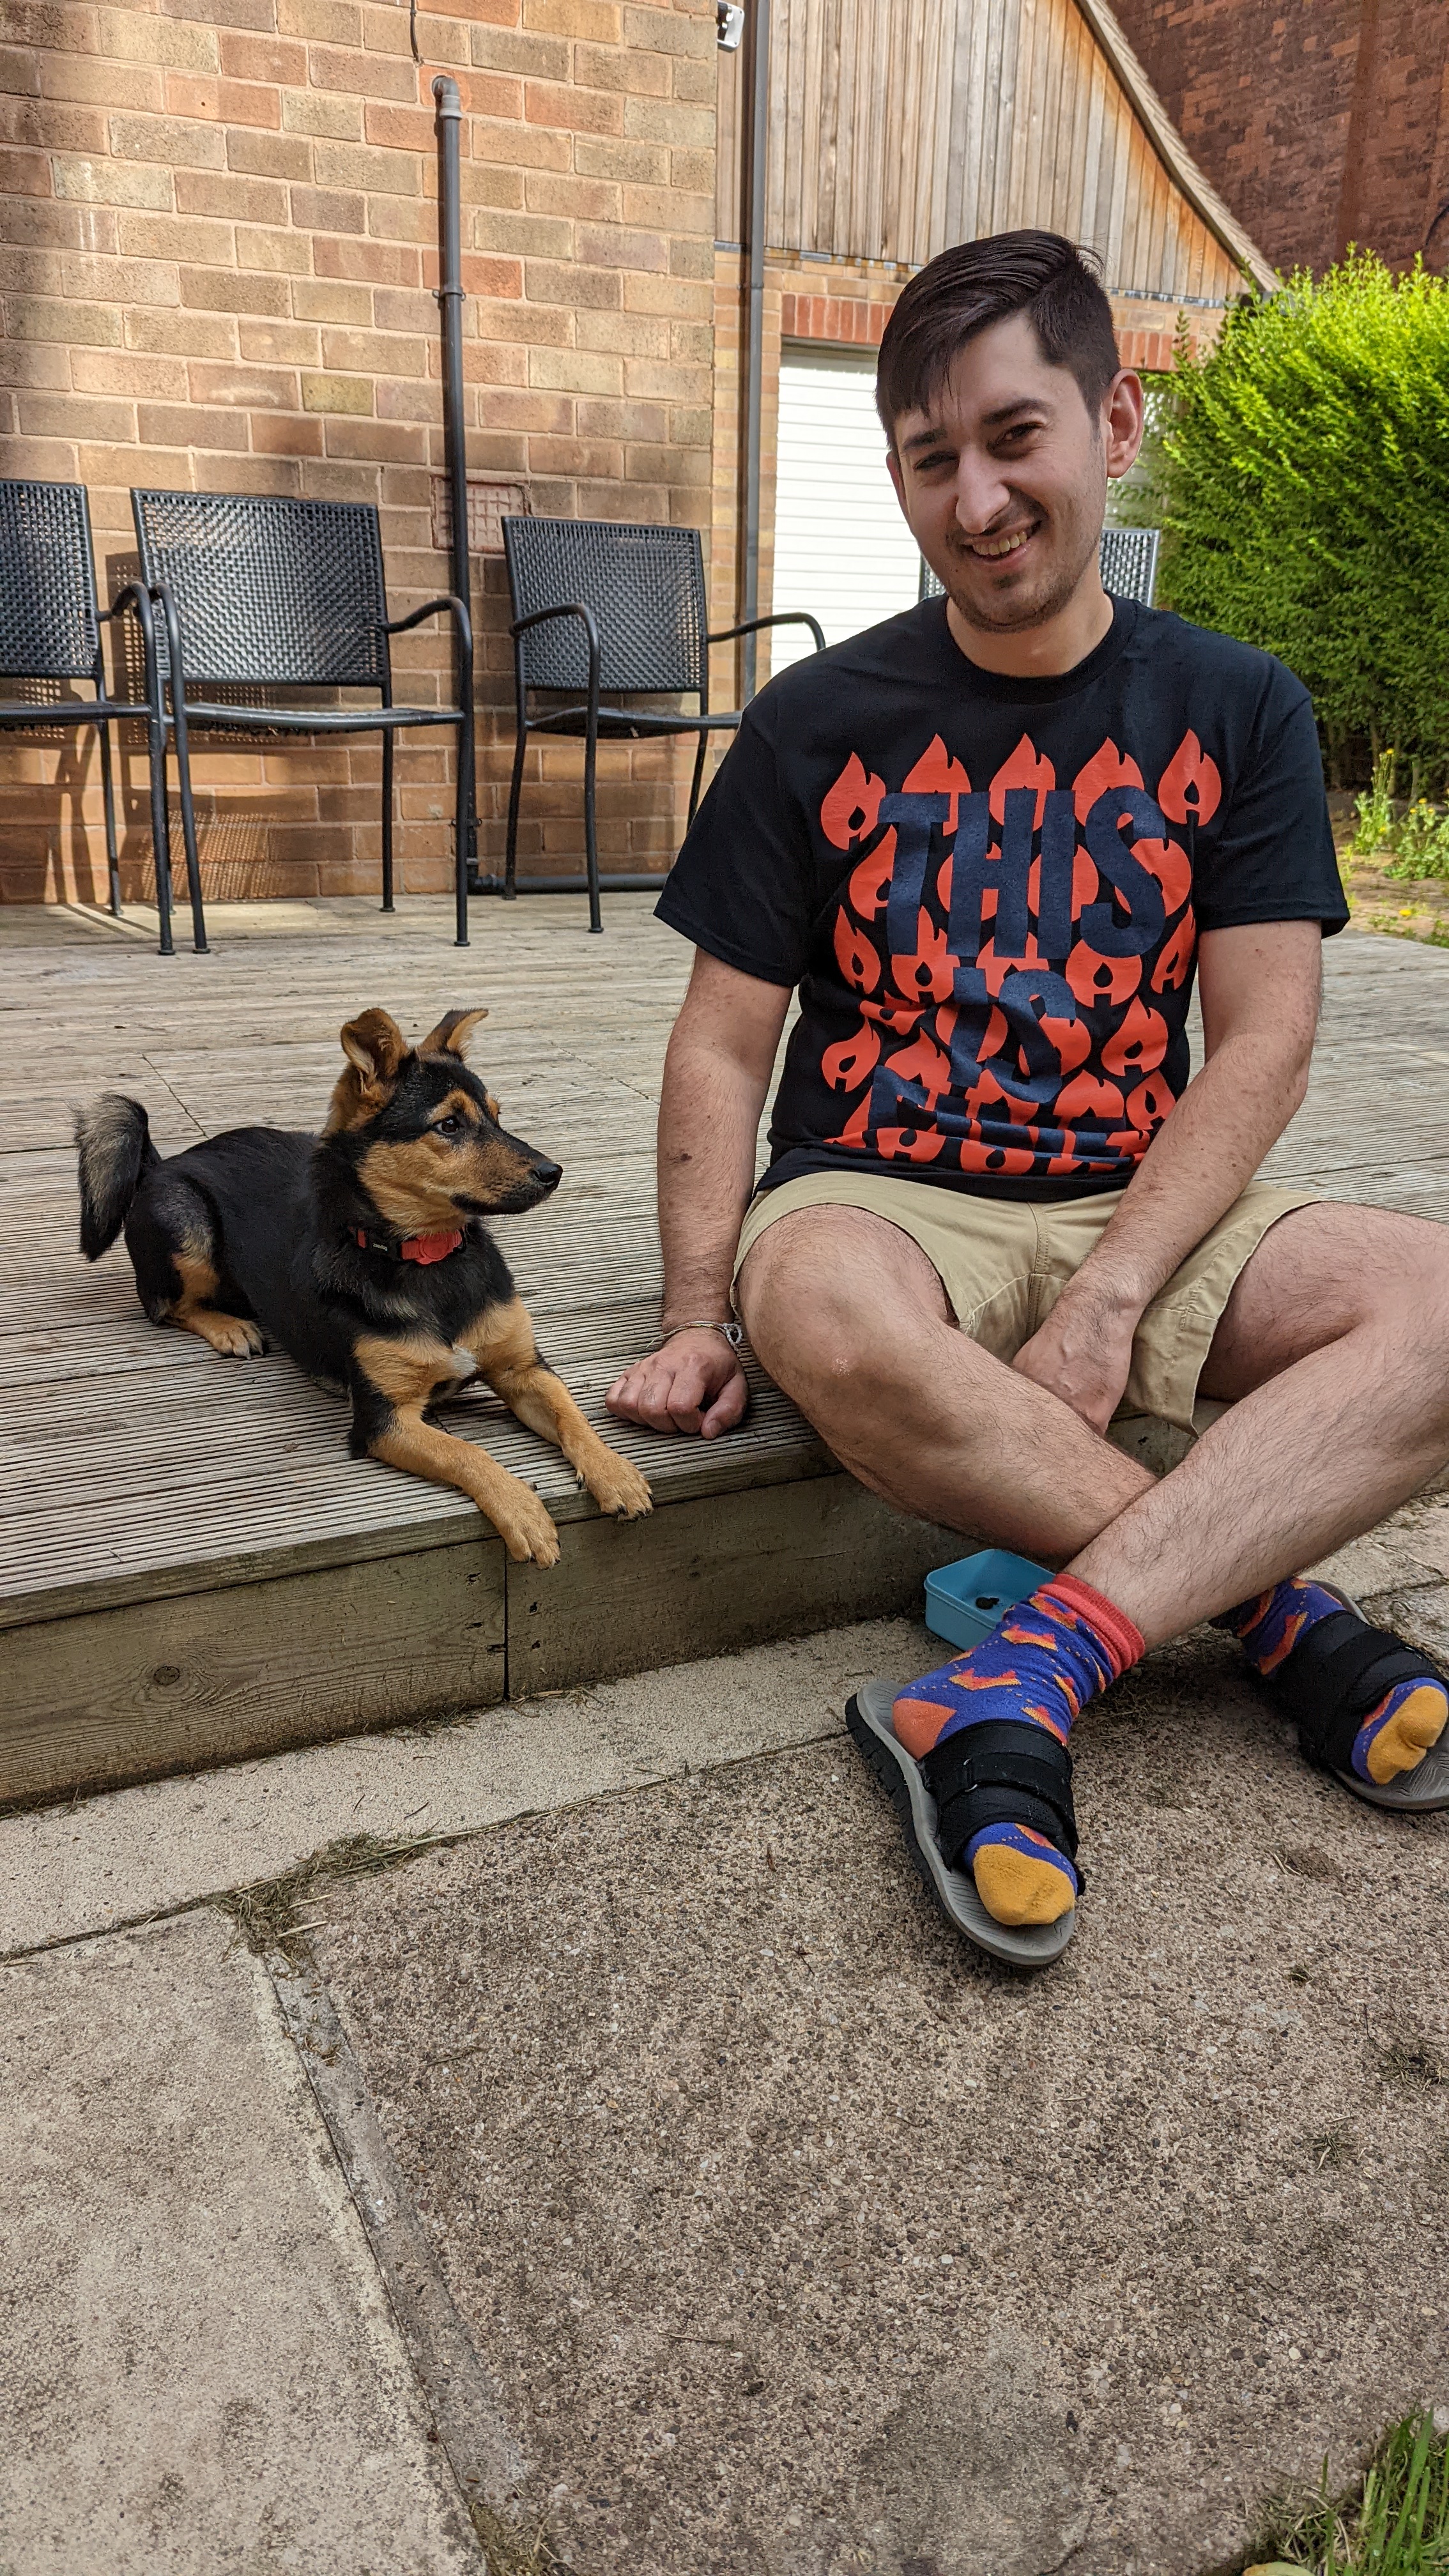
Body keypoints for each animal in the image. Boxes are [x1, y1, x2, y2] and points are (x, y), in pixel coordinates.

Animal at [72, 1004, 649, 1566]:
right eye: (449, 1125)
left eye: (498, 1115)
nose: (553, 1173)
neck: (429, 1258)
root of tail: (163, 1162)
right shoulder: (384, 1420)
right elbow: (468, 1453)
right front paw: (523, 1511)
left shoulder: (523, 1370)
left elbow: (572, 1415)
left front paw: (615, 1472)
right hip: (186, 1224)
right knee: (164, 1305)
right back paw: (231, 1328)